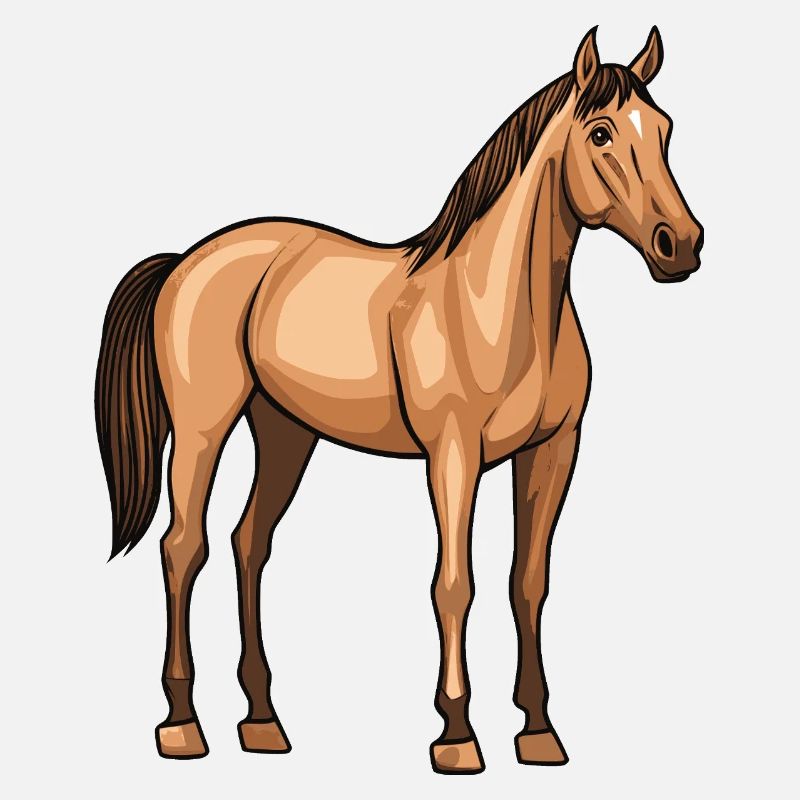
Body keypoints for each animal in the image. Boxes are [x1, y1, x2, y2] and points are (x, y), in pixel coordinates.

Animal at [95, 26, 702, 773]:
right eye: (601, 132)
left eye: (664, 129)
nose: (681, 246)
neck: (500, 307)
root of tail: (186, 261)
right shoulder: (453, 456)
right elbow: (455, 583)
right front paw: (456, 734)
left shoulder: (553, 451)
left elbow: (528, 582)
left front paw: (538, 731)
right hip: (203, 428)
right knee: (184, 547)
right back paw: (182, 725)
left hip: (285, 432)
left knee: (249, 543)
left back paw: (263, 721)